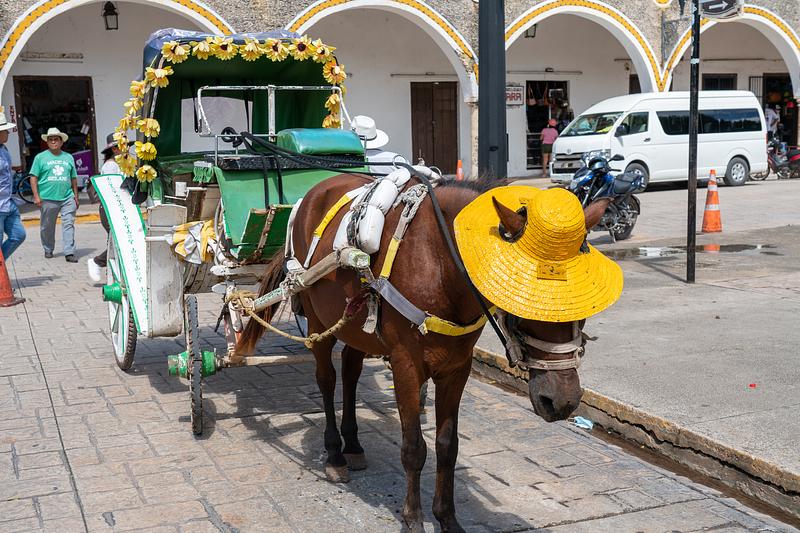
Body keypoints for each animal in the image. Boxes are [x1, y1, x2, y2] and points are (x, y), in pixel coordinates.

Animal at [237, 172, 612, 532]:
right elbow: (414, 448)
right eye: (522, 298)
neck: (440, 264)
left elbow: (447, 446)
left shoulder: (457, 368)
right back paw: (335, 455)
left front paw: (447, 518)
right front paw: (413, 518)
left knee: (351, 372)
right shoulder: (405, 365)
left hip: (357, 325)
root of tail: (316, 190)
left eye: (584, 305)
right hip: (317, 318)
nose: (561, 401)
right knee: (327, 380)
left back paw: (353, 445)